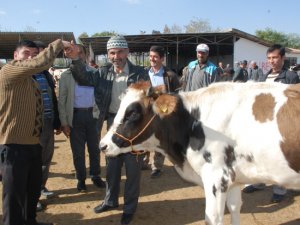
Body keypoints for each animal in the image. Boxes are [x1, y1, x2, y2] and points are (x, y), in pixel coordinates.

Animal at [99, 81, 300, 225]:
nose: (103, 145)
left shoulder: (216, 177)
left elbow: (213, 218)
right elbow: (235, 208)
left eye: (133, 113)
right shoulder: (234, 178)